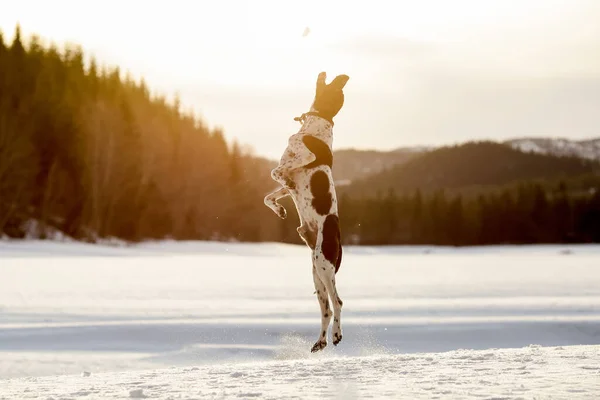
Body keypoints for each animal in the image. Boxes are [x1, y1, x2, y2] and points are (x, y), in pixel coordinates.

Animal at [264, 72, 350, 354]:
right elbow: (270, 195)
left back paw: (336, 335)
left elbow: (277, 172)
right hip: (316, 274)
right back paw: (320, 341)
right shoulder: (288, 176)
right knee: (325, 309)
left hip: (324, 266)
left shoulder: (302, 158)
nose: (322, 73)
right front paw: (279, 208)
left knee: (338, 303)